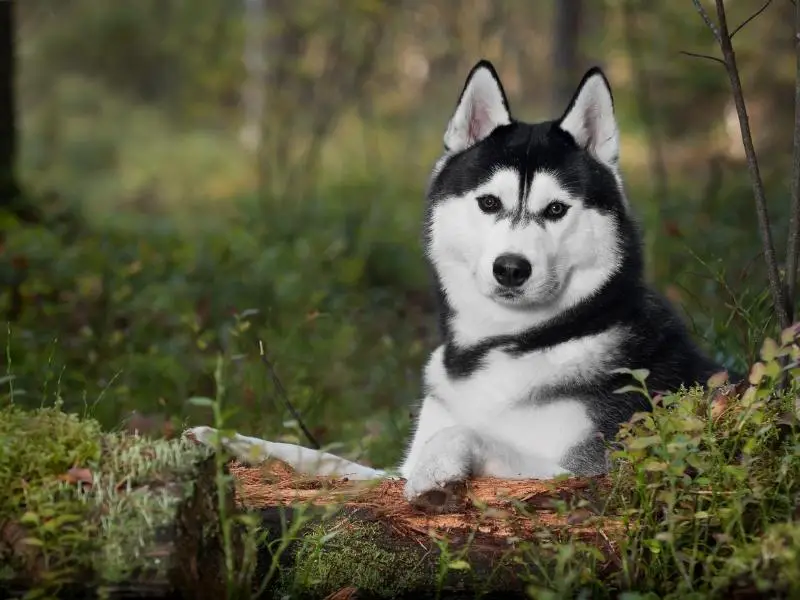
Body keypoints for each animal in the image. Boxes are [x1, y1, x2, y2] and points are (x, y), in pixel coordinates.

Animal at [188, 61, 724, 508]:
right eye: (488, 203)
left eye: (556, 209)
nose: (511, 268)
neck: (508, 344)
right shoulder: (390, 468)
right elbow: (323, 458)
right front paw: (228, 439)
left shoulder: (590, 471)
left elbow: (469, 435)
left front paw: (437, 469)